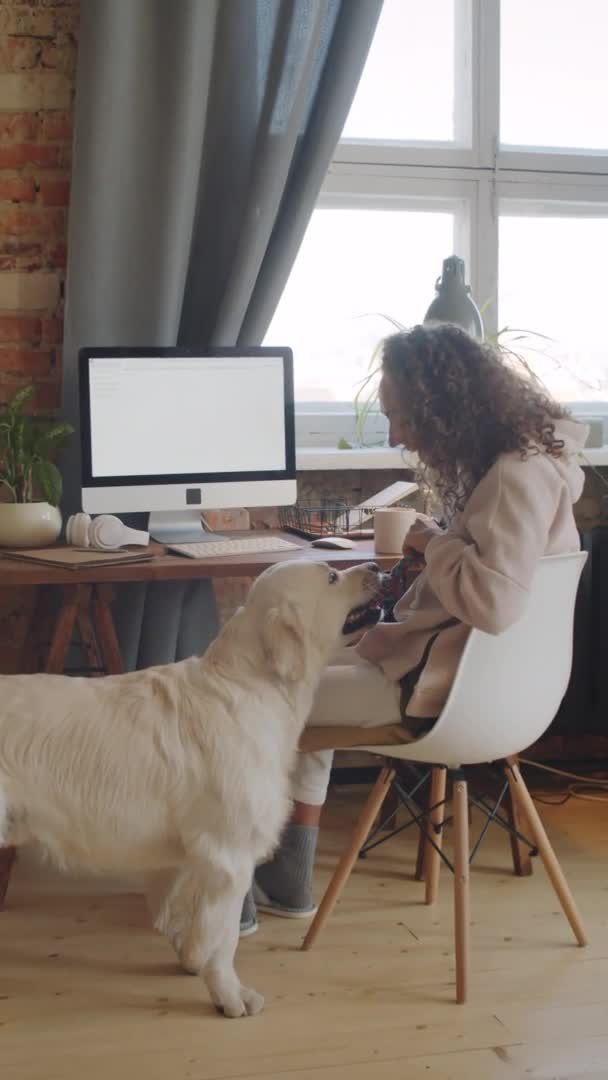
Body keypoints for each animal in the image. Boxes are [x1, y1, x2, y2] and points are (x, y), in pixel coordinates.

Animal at [1, 561, 380, 1015]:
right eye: (331, 578)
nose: (377, 566)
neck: (252, 684)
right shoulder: (230, 857)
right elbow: (225, 937)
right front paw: (231, 996)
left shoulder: (189, 856)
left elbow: (190, 922)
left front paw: (192, 961)